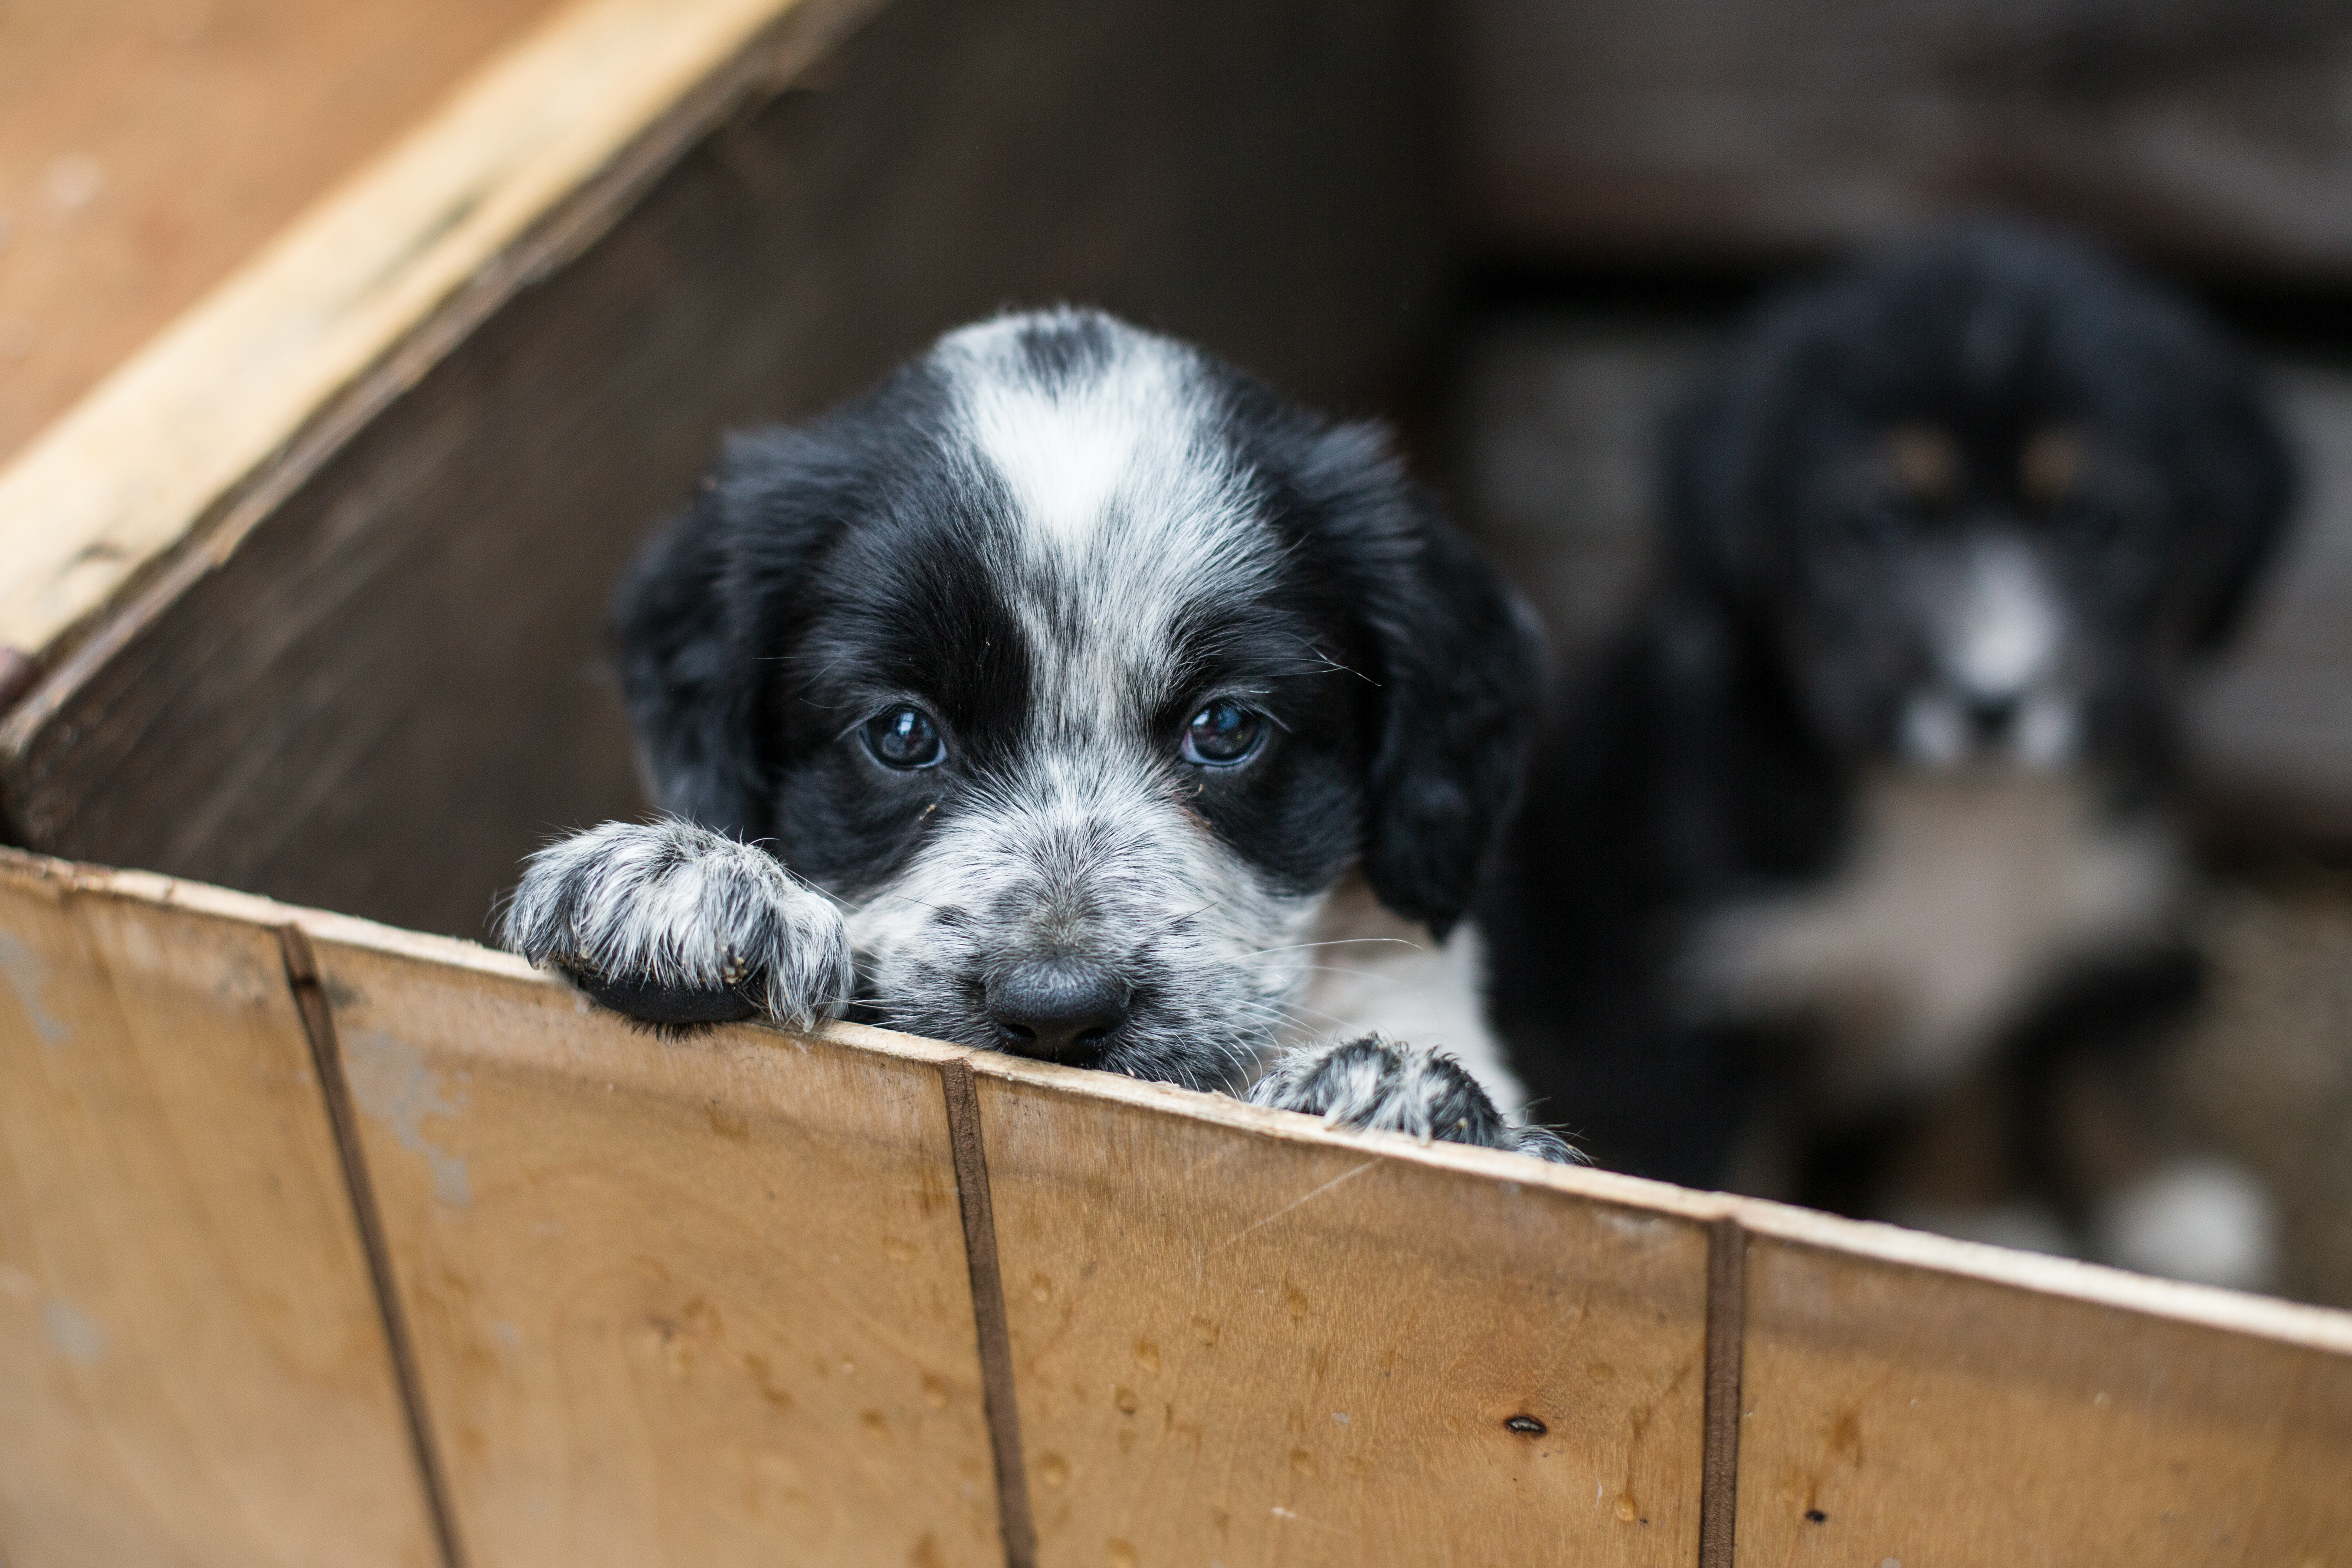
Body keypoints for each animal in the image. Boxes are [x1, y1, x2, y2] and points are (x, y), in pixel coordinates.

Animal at [1486, 223, 2295, 1279]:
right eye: (1874, 518)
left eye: (2097, 521)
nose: (1991, 700)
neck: (1954, 811)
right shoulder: (1685, 1003)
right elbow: (1723, 1170)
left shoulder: (2082, 918)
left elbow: (2020, 1079)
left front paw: (1981, 1221)